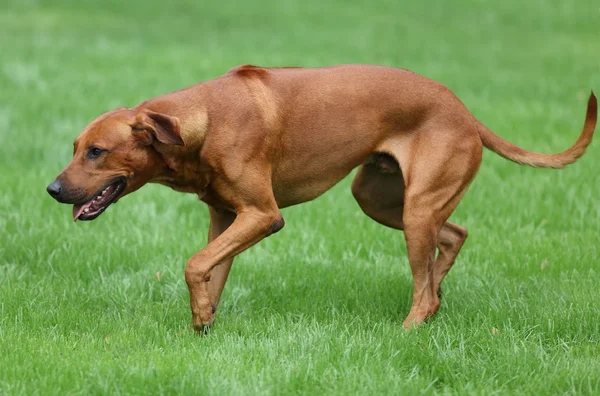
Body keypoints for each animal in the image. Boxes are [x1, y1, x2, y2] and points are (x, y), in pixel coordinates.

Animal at [45, 65, 596, 332]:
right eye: (73, 147)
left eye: (96, 151)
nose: (52, 189)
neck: (200, 121)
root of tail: (465, 110)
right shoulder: (225, 216)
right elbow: (209, 272)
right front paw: (203, 325)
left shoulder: (262, 216)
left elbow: (194, 262)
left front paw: (201, 319)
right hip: (379, 198)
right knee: (455, 236)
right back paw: (438, 300)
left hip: (415, 210)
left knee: (423, 282)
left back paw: (412, 325)